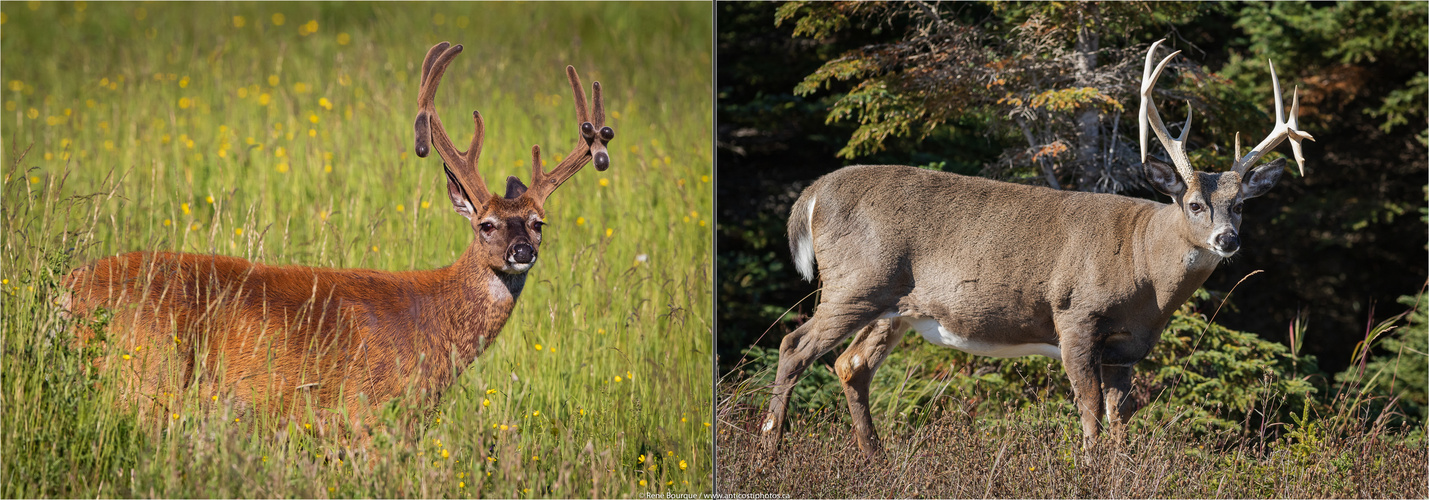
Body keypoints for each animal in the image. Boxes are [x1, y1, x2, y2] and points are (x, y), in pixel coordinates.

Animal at [60, 41, 614, 434]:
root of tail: (66, 288)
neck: (431, 324)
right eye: (487, 224)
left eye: (539, 222)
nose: (523, 251)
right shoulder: (366, 415)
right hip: (142, 380)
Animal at [765, 39, 1308, 460]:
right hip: (855, 282)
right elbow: (1089, 409)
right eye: (1194, 204)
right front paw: (1089, 469)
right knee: (794, 346)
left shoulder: (1127, 348)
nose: (1227, 239)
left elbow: (1120, 416)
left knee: (850, 366)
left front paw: (1118, 470)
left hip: (893, 306)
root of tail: (812, 195)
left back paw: (875, 458)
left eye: (1240, 206)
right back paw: (770, 452)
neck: (1144, 271)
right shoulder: (1075, 316)